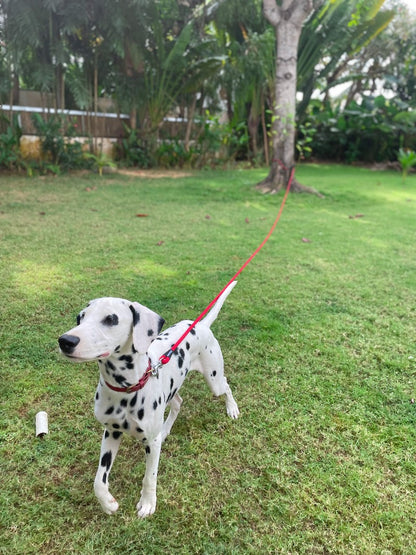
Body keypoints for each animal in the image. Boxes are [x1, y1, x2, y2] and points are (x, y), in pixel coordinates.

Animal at [59, 284, 239, 520]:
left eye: (110, 319)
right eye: (80, 317)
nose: (65, 341)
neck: (125, 389)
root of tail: (200, 324)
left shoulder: (151, 444)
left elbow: (149, 477)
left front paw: (147, 503)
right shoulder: (111, 432)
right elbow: (99, 480)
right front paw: (108, 503)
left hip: (214, 379)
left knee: (225, 386)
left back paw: (232, 408)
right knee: (178, 402)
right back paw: (166, 428)